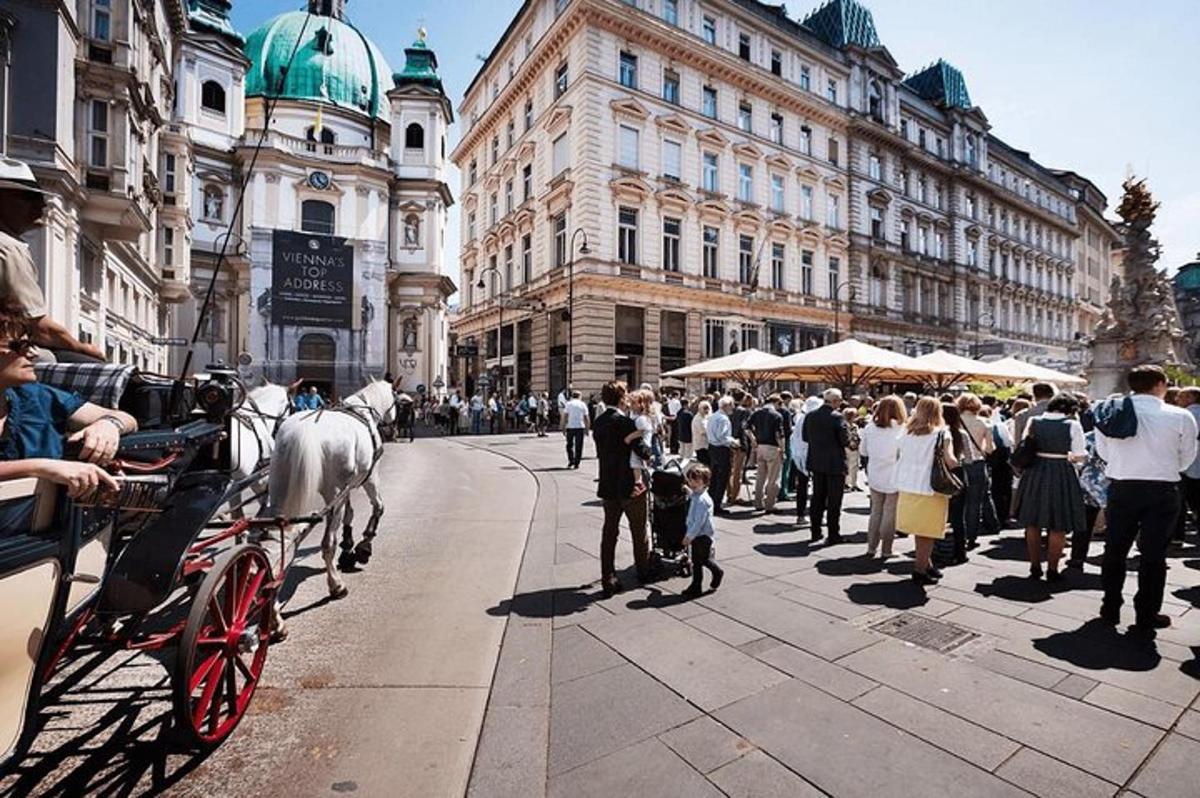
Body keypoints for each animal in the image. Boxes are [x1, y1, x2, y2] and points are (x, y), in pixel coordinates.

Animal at [265, 379, 396, 597]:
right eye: (396, 399)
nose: (392, 430)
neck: (362, 410)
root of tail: (305, 431)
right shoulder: (369, 478)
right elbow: (378, 507)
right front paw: (363, 548)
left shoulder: (347, 487)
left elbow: (349, 515)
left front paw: (348, 549)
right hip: (334, 495)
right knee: (327, 543)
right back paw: (336, 584)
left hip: (279, 488)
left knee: (277, 533)